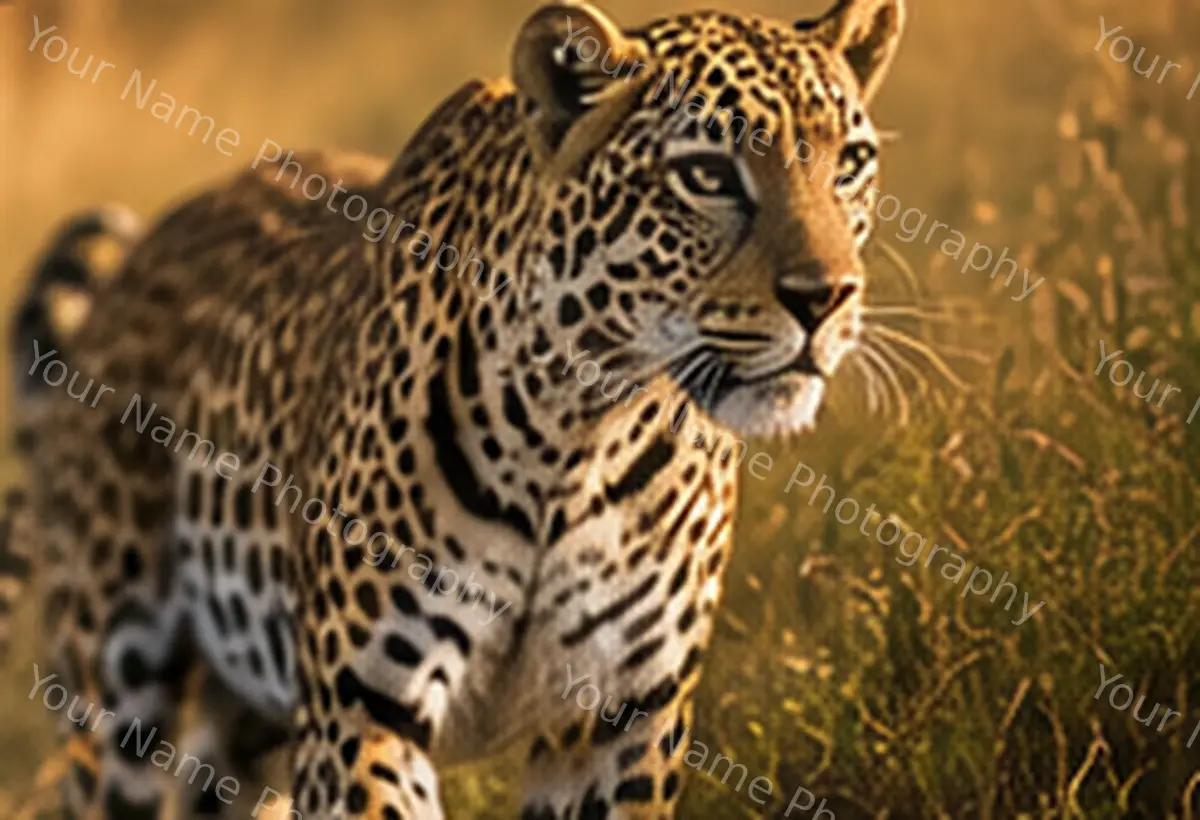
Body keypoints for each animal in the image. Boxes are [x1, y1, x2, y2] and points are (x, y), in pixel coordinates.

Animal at [9, 0, 907, 816]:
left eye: (851, 163)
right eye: (708, 175)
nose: (826, 298)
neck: (586, 425)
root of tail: (133, 260)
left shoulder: (623, 724)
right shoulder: (362, 708)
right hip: (118, 684)